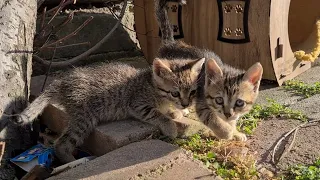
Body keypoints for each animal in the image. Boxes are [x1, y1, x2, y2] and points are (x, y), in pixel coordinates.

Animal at [13, 58, 204, 163]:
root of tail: (62, 81)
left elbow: (168, 111)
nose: (186, 104)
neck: (150, 84)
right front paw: (170, 125)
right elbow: (157, 114)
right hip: (84, 118)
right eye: (175, 93)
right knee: (60, 144)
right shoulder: (137, 104)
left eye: (192, 92)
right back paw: (73, 161)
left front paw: (177, 112)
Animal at [155, 0, 262, 140]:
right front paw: (227, 132)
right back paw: (176, 110)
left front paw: (235, 132)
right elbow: (213, 119)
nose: (227, 114)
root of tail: (170, 43)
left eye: (239, 102)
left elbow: (232, 120)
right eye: (219, 100)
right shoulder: (202, 104)